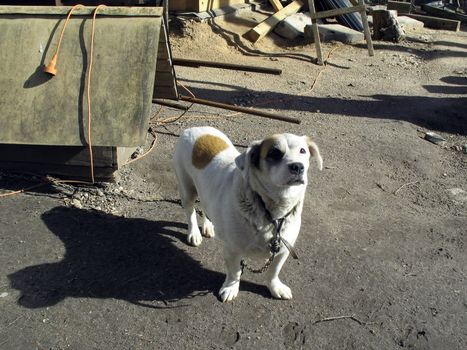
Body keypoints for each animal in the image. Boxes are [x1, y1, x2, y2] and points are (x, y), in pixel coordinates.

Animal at [174, 127, 324, 302]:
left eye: (303, 151)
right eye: (274, 153)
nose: (298, 167)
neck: (270, 211)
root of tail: (193, 128)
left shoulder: (282, 251)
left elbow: (273, 271)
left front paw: (275, 287)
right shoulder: (232, 249)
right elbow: (235, 272)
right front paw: (231, 287)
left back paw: (208, 226)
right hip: (187, 189)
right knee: (190, 211)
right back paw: (194, 233)